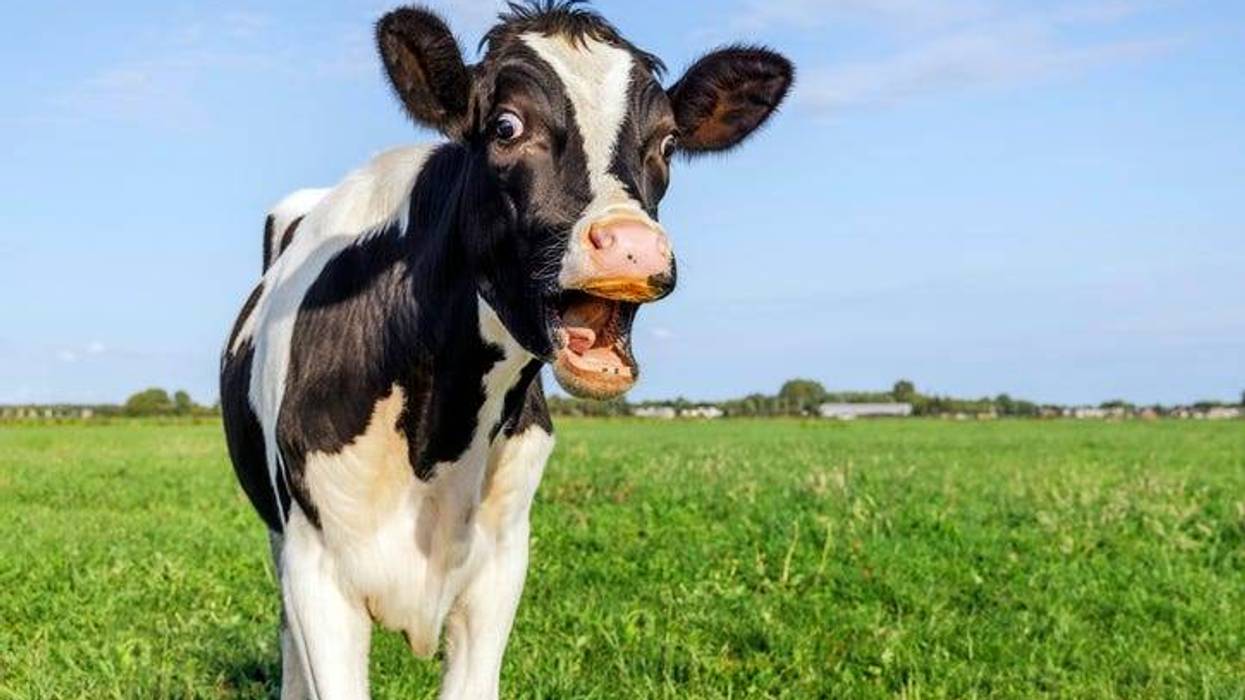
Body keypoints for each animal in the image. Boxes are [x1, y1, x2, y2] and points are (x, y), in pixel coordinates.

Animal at [220, 2, 793, 697]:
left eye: (667, 144)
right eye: (506, 126)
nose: (633, 246)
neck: (437, 443)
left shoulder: (500, 568)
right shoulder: (316, 569)